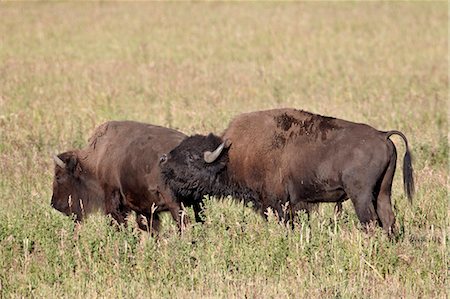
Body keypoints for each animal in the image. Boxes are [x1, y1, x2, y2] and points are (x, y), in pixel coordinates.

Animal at [51, 120, 188, 233]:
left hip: (174, 203)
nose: (54, 204)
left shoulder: (112, 198)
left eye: (58, 176)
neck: (98, 158)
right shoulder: (145, 208)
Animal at [159, 109, 414, 236]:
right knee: (387, 220)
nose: (163, 160)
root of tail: (382, 135)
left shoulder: (277, 203)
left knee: (370, 222)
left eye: (191, 156)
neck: (231, 156)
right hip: (383, 191)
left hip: (360, 195)